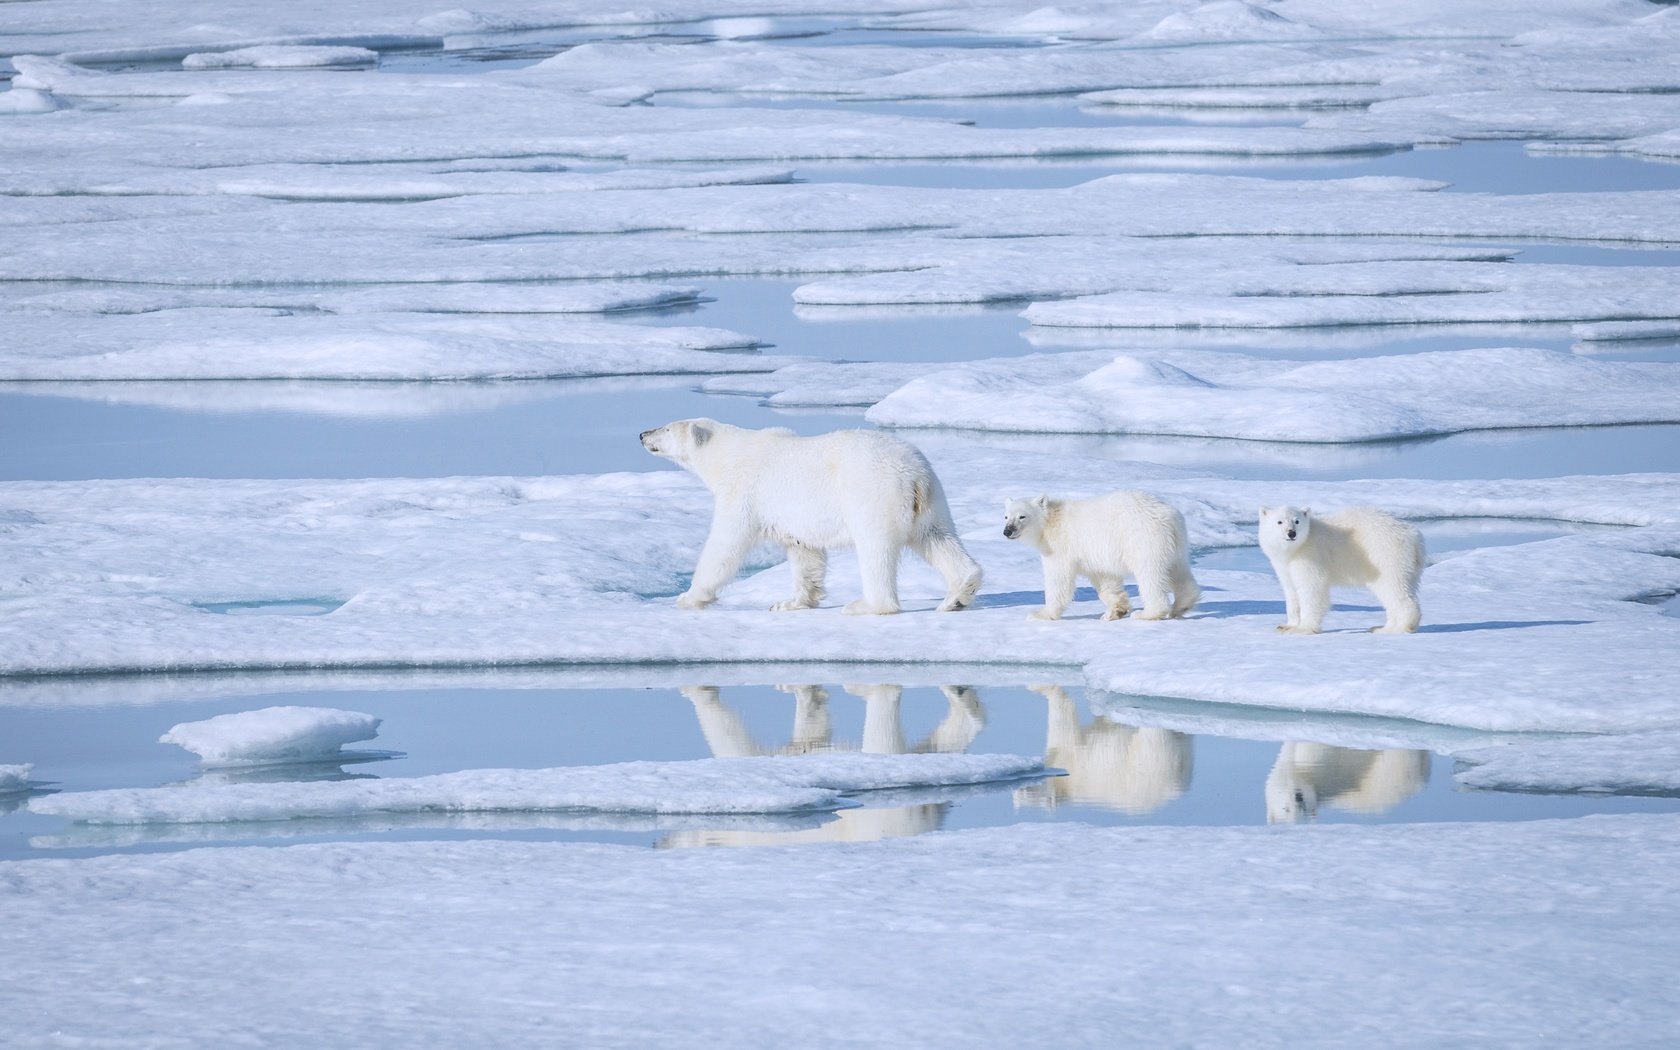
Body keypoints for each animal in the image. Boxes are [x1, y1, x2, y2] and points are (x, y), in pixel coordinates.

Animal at [641, 418, 981, 614]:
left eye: (667, 427)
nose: (643, 433)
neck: (729, 455)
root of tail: (914, 474)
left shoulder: (744, 492)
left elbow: (726, 544)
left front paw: (689, 597)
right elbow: (805, 553)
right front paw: (790, 602)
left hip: (873, 493)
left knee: (875, 548)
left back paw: (865, 605)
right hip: (931, 501)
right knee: (938, 538)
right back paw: (957, 596)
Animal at [1001, 487, 1202, 618]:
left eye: (1022, 516)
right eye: (1006, 516)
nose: (1007, 531)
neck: (1050, 521)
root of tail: (1169, 517)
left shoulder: (1060, 547)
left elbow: (1058, 579)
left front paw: (1041, 613)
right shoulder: (1094, 556)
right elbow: (1106, 579)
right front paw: (1115, 611)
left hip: (1143, 540)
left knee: (1149, 575)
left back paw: (1148, 613)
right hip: (1176, 544)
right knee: (1179, 570)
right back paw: (1181, 606)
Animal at [1263, 507, 1417, 635]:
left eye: (1297, 521)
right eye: (1279, 522)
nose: (1291, 533)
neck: (1296, 549)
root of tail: (1414, 537)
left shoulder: (1311, 555)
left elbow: (1312, 589)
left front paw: (1303, 629)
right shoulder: (1284, 565)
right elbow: (1291, 590)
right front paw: (1286, 626)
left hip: (1385, 554)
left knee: (1393, 588)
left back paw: (1400, 628)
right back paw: (1382, 627)